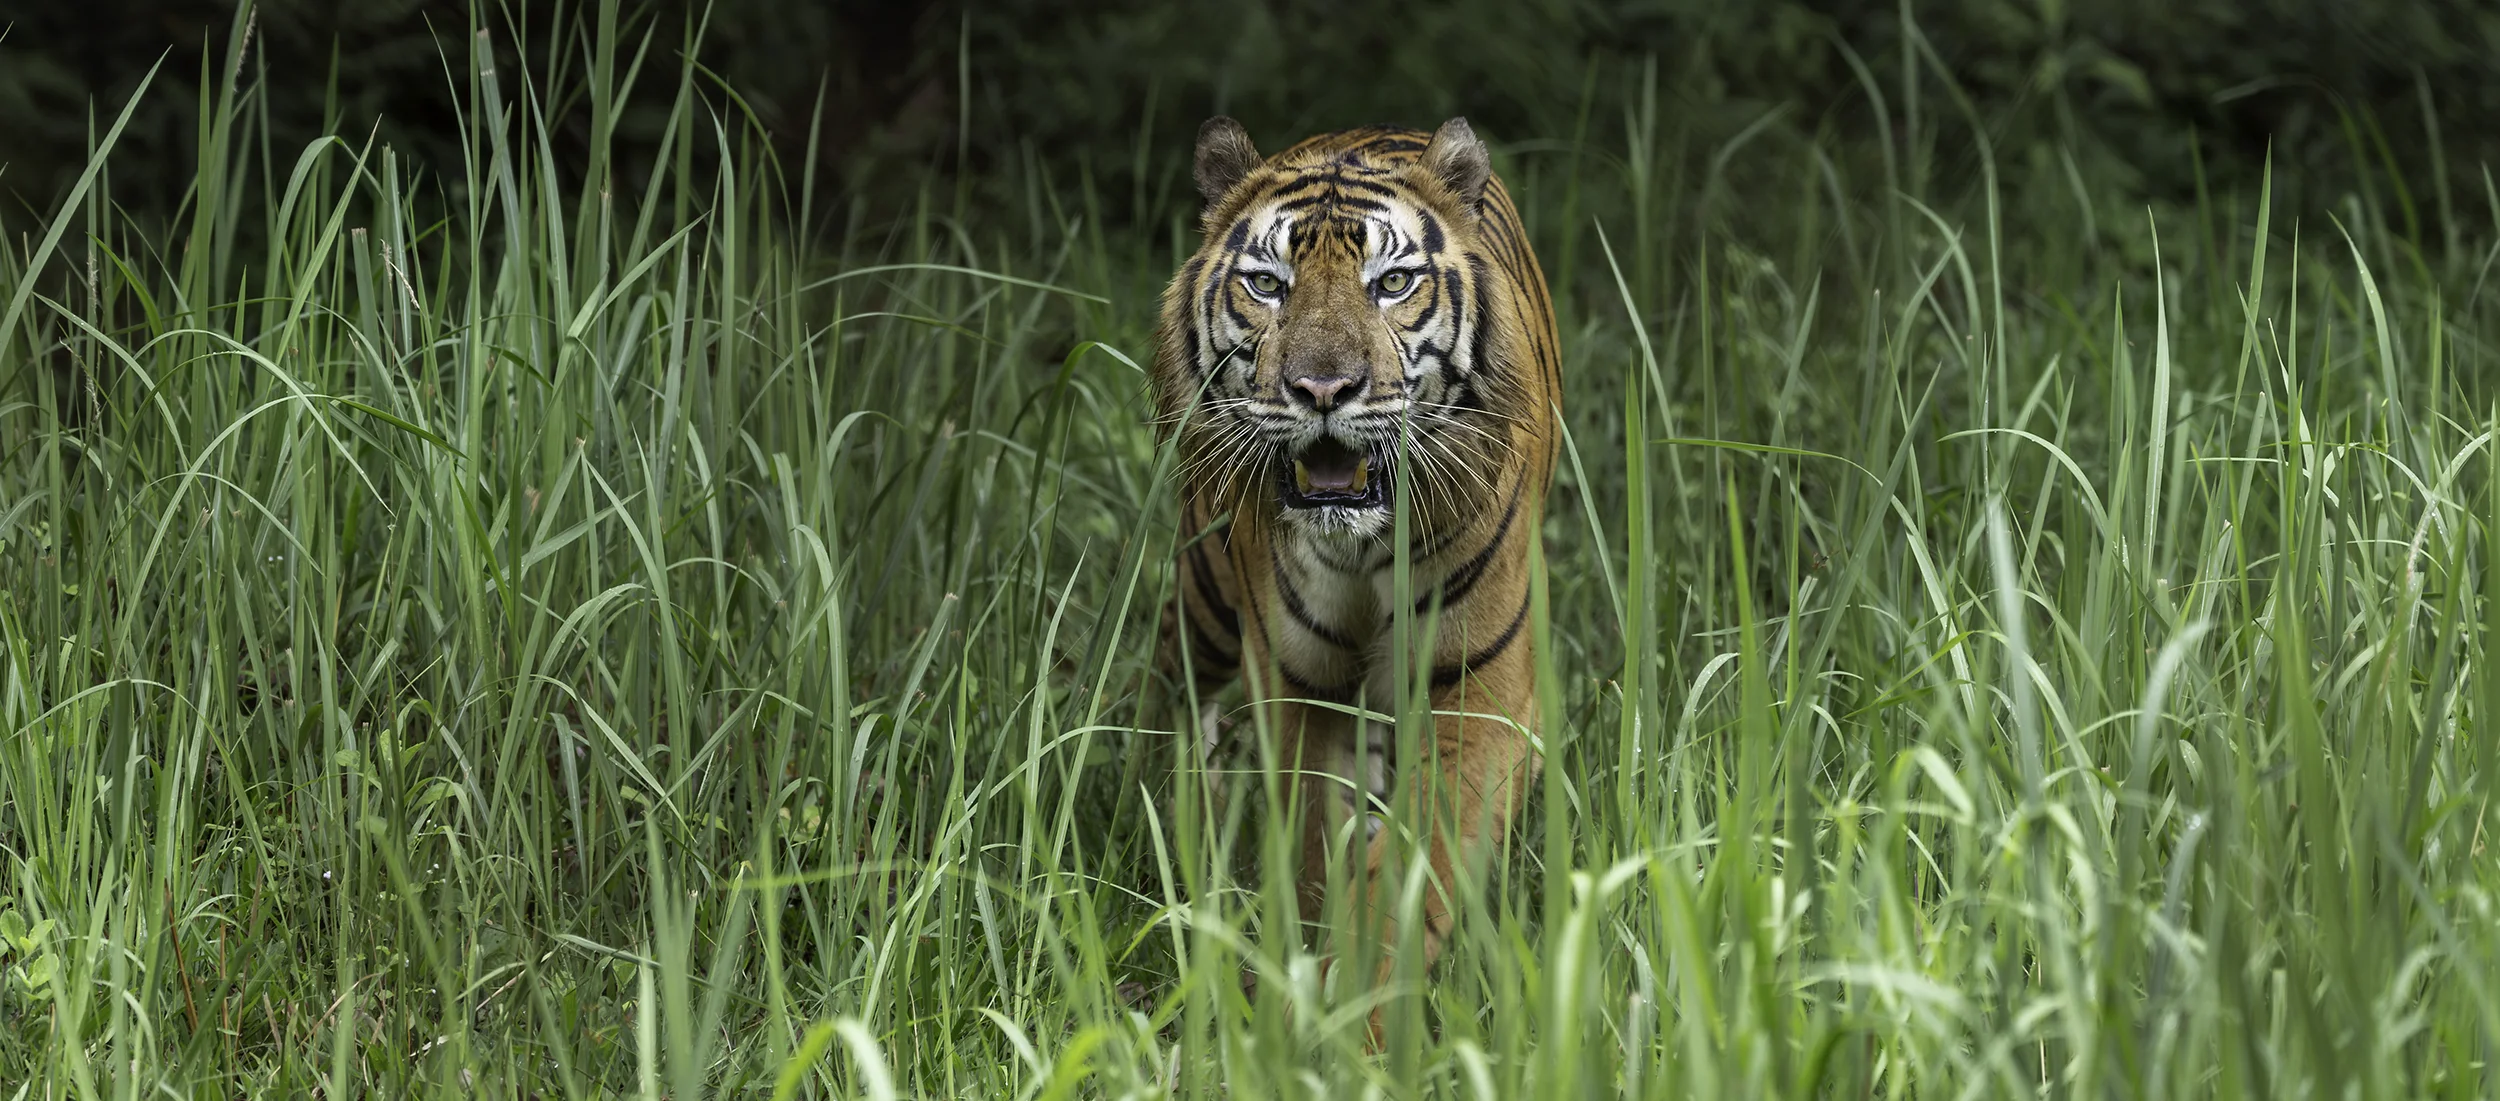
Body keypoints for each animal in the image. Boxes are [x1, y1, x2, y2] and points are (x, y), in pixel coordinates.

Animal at [1155, 113, 1560, 995]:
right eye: (1268, 284)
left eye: (1393, 282)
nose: (1322, 389)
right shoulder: (1299, 682)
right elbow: (1314, 845)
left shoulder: (1479, 691)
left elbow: (1415, 866)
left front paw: (1361, 1001)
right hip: (1205, 588)